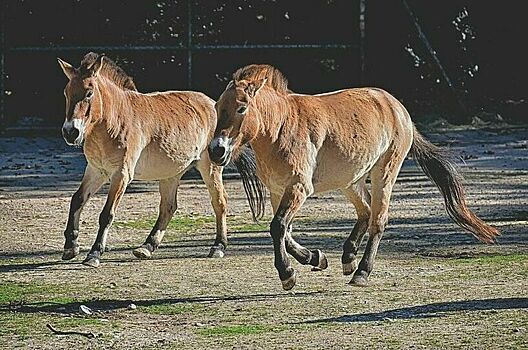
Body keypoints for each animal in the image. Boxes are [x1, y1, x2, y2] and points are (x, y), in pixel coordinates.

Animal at [57, 51, 231, 266]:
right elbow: (77, 200)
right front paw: (71, 246)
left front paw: (94, 254)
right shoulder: (97, 170)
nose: (70, 132)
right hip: (170, 173)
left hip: (210, 167)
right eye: (66, 92)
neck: (114, 120)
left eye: (89, 93)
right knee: (168, 207)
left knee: (219, 202)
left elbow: (107, 214)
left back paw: (218, 247)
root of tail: (212, 104)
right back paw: (147, 247)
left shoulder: (121, 174)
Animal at [209, 63, 500, 290]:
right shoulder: (278, 190)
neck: (281, 127)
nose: (216, 150)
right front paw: (315, 258)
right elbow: (284, 231)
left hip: (384, 172)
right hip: (350, 180)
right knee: (366, 211)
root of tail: (398, 109)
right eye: (218, 106)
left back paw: (361, 272)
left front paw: (288, 274)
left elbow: (278, 227)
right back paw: (348, 258)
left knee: (378, 219)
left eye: (242, 108)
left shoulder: (298, 188)